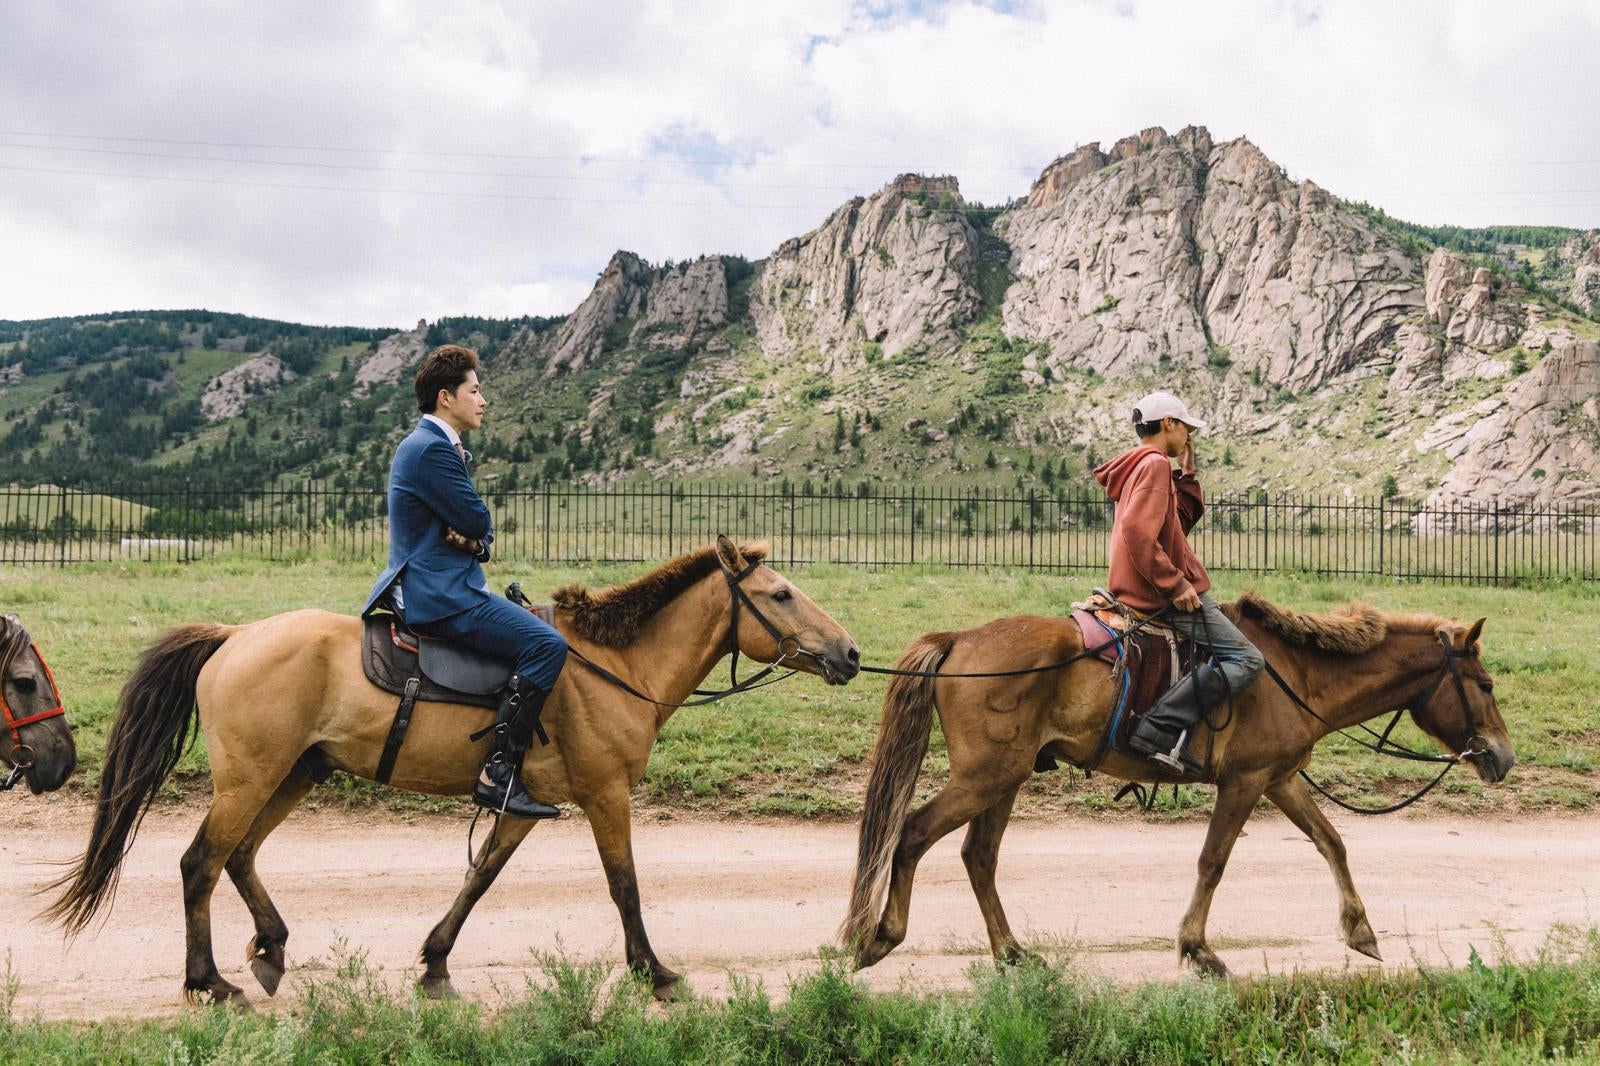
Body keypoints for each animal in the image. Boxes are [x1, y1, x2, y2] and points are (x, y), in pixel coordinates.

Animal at [43, 534, 857, 998]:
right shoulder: (606, 795)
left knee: (239, 856)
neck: (613, 666)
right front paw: (652, 973)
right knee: (201, 862)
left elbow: (480, 878)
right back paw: (207, 981)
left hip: (296, 773)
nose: (850, 654)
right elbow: (624, 885)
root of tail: (234, 635)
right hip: (251, 779)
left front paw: (434, 963)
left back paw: (269, 948)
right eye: (781, 594)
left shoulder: (527, 806)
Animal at [844, 592, 1516, 973]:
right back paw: (881, 939)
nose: (1502, 757)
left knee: (977, 856)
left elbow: (1332, 842)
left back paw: (1011, 954)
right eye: (1485, 685)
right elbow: (1213, 861)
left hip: (1003, 781)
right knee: (911, 834)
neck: (1297, 674)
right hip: (984, 778)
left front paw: (1362, 932)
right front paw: (1197, 949)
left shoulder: (1279, 779)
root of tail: (959, 640)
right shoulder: (1245, 782)